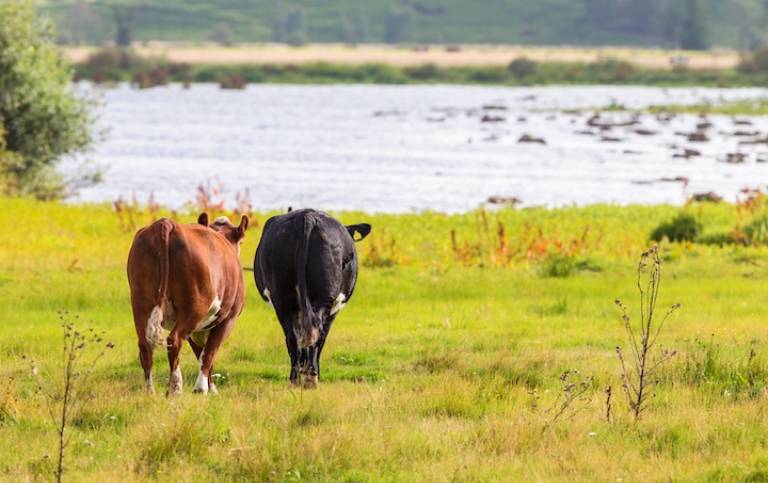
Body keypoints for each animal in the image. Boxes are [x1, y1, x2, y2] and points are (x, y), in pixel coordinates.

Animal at [127, 214, 249, 396]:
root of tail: (166, 222)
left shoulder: (198, 329)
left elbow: (201, 355)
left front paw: (209, 387)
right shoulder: (228, 319)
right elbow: (209, 353)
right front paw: (204, 389)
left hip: (141, 301)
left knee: (145, 345)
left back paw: (151, 391)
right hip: (195, 305)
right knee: (175, 340)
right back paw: (176, 389)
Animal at [254, 208, 370, 390]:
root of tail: (306, 216)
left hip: (282, 296)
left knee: (294, 337)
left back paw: (295, 379)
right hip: (325, 296)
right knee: (317, 333)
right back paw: (311, 378)